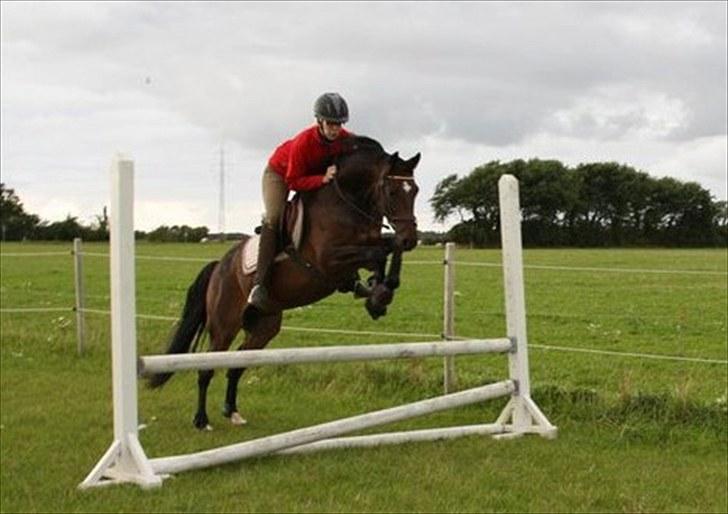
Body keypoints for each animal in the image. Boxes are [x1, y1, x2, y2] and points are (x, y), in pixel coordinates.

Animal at [146, 136, 420, 428]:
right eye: (392, 192)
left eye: (414, 190)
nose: (411, 239)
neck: (347, 200)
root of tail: (219, 267)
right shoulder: (329, 259)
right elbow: (379, 253)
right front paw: (378, 293)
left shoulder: (367, 245)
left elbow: (387, 249)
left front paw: (378, 293)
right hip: (224, 325)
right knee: (207, 366)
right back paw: (201, 419)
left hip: (264, 326)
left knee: (237, 363)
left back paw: (232, 411)